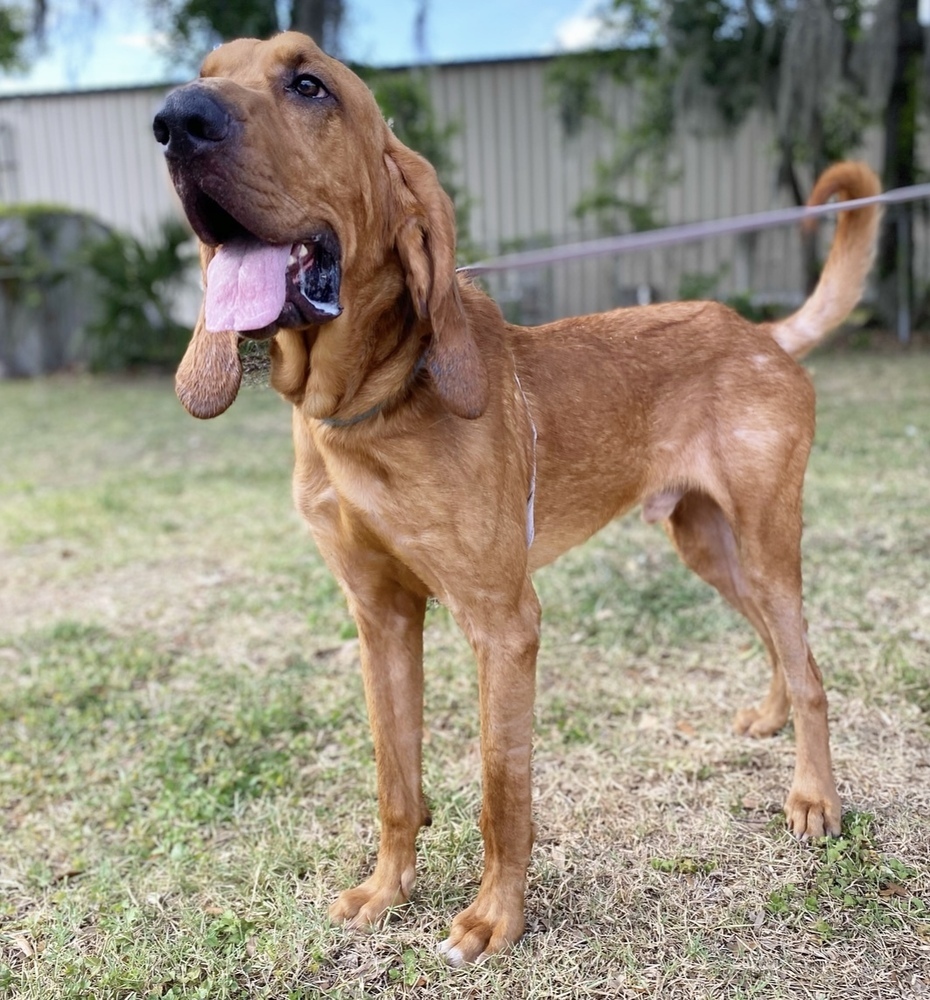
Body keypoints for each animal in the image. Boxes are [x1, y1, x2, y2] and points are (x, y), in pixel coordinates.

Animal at [152, 31, 876, 964]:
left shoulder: (502, 623)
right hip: (706, 544)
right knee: (783, 648)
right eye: (206, 74)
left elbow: (503, 791)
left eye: (309, 85)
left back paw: (815, 797)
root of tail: (760, 334)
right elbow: (395, 776)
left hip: (766, 541)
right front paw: (387, 890)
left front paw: (495, 918)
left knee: (812, 665)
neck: (361, 412)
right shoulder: (380, 615)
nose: (176, 120)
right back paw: (773, 717)